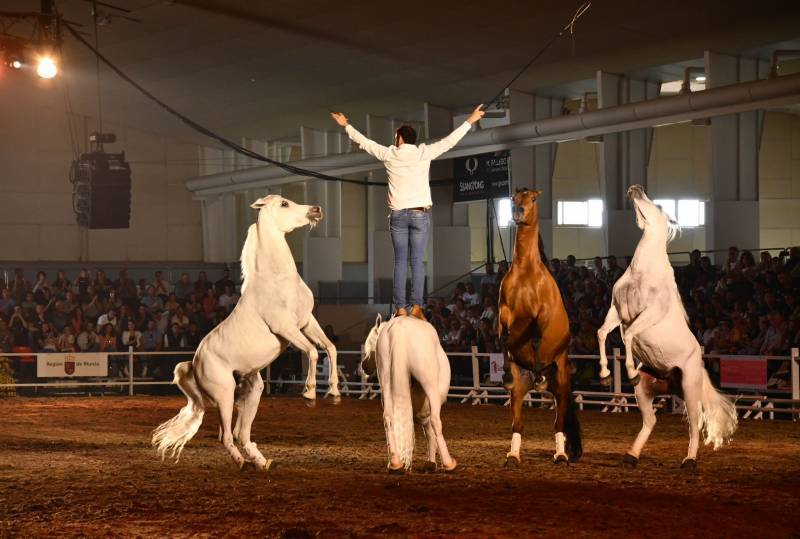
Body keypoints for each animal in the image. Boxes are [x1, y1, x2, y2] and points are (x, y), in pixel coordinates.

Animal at [152, 196, 340, 470]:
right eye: (284, 203)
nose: (316, 210)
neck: (277, 279)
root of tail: (195, 364)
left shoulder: (307, 323)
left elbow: (330, 348)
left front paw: (334, 393)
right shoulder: (286, 328)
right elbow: (314, 352)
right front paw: (309, 395)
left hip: (253, 391)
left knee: (241, 433)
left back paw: (261, 462)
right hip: (224, 395)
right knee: (226, 435)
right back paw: (241, 462)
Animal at [362, 314, 456, 474]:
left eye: (370, 341)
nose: (364, 365)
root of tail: (398, 328)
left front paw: (430, 462)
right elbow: (430, 431)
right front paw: (431, 462)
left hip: (386, 382)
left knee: (388, 418)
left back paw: (395, 463)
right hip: (429, 384)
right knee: (435, 422)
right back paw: (449, 463)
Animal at [500, 189, 580, 464]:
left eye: (533, 199)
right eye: (513, 198)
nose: (518, 212)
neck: (527, 272)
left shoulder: (541, 315)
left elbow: (536, 336)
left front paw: (537, 366)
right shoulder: (505, 311)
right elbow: (504, 335)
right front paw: (505, 368)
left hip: (562, 386)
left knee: (558, 423)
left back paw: (561, 454)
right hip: (518, 390)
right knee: (517, 424)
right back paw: (513, 456)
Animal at [596, 185, 736, 468]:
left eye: (657, 206)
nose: (635, 189)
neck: (641, 274)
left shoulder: (649, 314)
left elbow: (629, 335)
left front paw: (629, 370)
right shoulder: (616, 310)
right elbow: (603, 332)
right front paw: (605, 374)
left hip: (690, 390)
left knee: (695, 424)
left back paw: (689, 460)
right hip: (645, 391)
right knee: (651, 421)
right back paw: (631, 456)